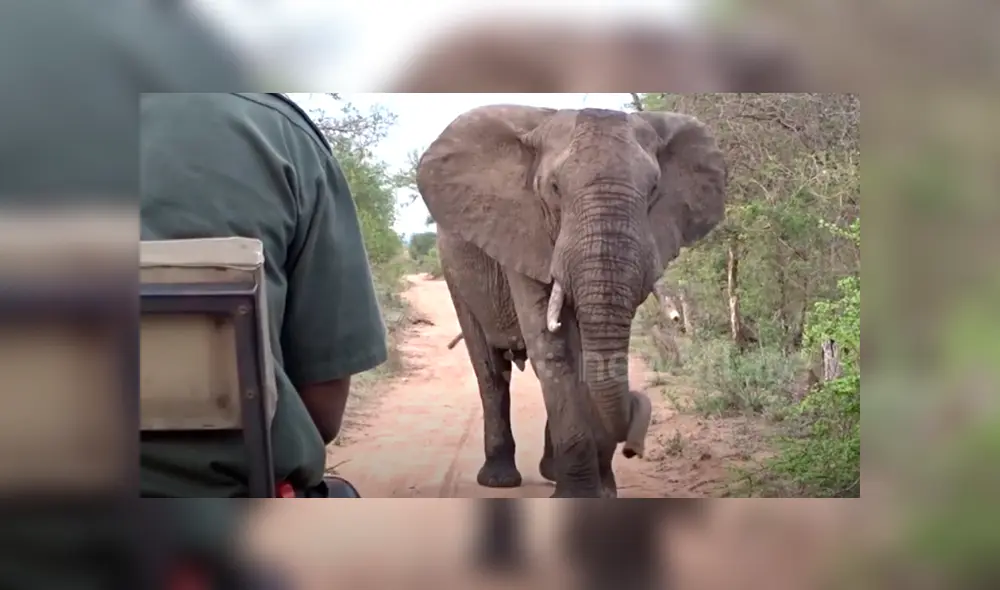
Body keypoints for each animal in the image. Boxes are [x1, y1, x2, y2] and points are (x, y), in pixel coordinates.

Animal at [416, 105, 727, 498]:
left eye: (654, 189)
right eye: (554, 189)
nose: (632, 449)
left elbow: (588, 357)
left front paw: (603, 491)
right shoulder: (523, 232)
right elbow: (556, 349)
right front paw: (579, 494)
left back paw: (550, 471)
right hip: (456, 273)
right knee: (490, 370)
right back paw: (499, 479)